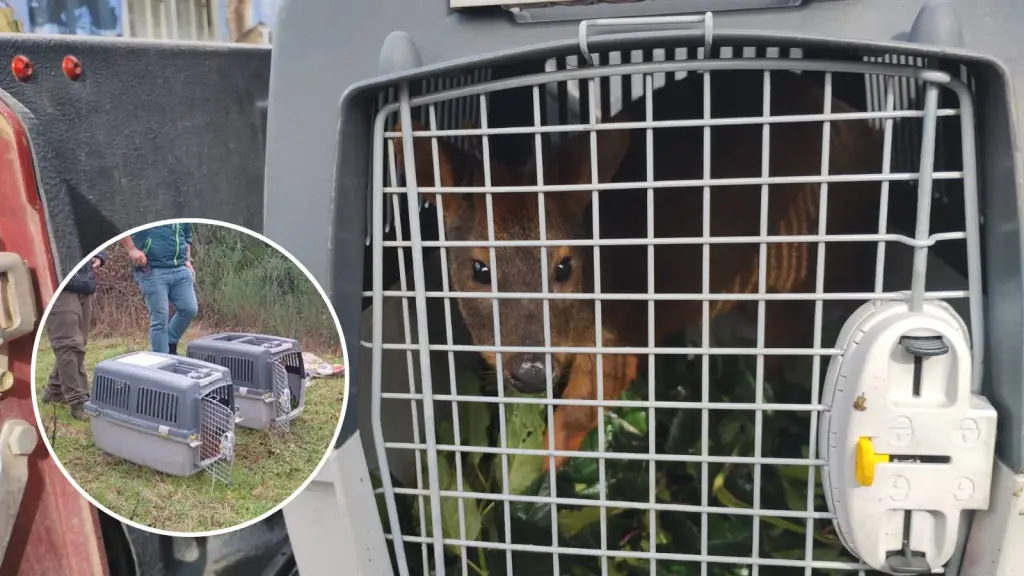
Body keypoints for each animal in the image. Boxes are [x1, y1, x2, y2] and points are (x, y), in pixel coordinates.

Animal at [391, 68, 880, 471]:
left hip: (799, 275)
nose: (530, 370)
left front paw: (529, 484)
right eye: (479, 268)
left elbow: (573, 419)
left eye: (565, 266)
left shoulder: (619, 336)